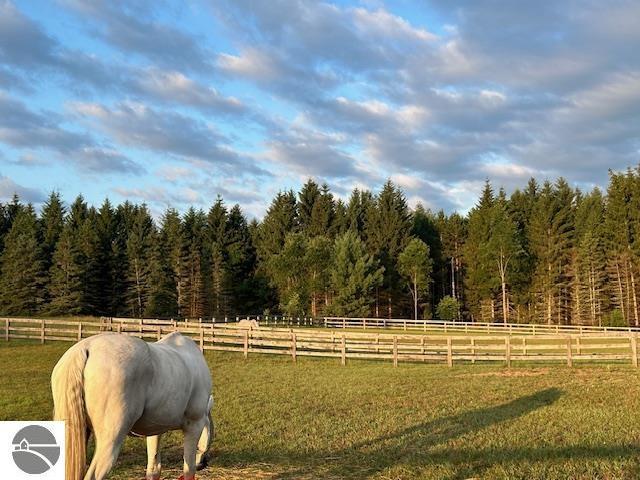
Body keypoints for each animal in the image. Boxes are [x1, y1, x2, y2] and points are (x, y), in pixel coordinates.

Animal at [51, 332, 214, 480]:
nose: (203, 464)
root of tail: (86, 348)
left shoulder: (155, 430)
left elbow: (154, 470)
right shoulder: (194, 426)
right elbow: (188, 471)